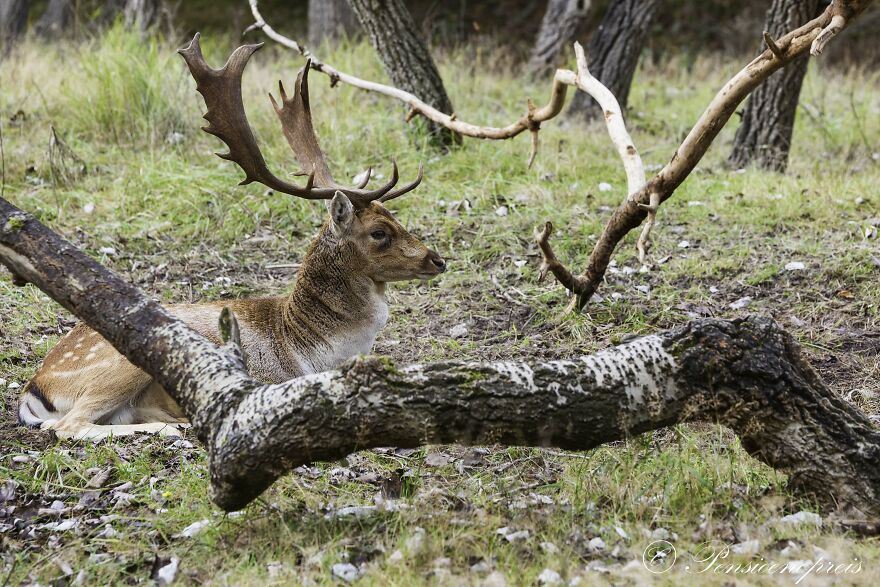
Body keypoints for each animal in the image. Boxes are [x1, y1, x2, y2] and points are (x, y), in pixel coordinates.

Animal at [16, 34, 446, 441]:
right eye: (379, 233)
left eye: (395, 217)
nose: (437, 259)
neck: (312, 348)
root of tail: (35, 388)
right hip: (119, 361)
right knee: (66, 426)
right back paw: (174, 429)